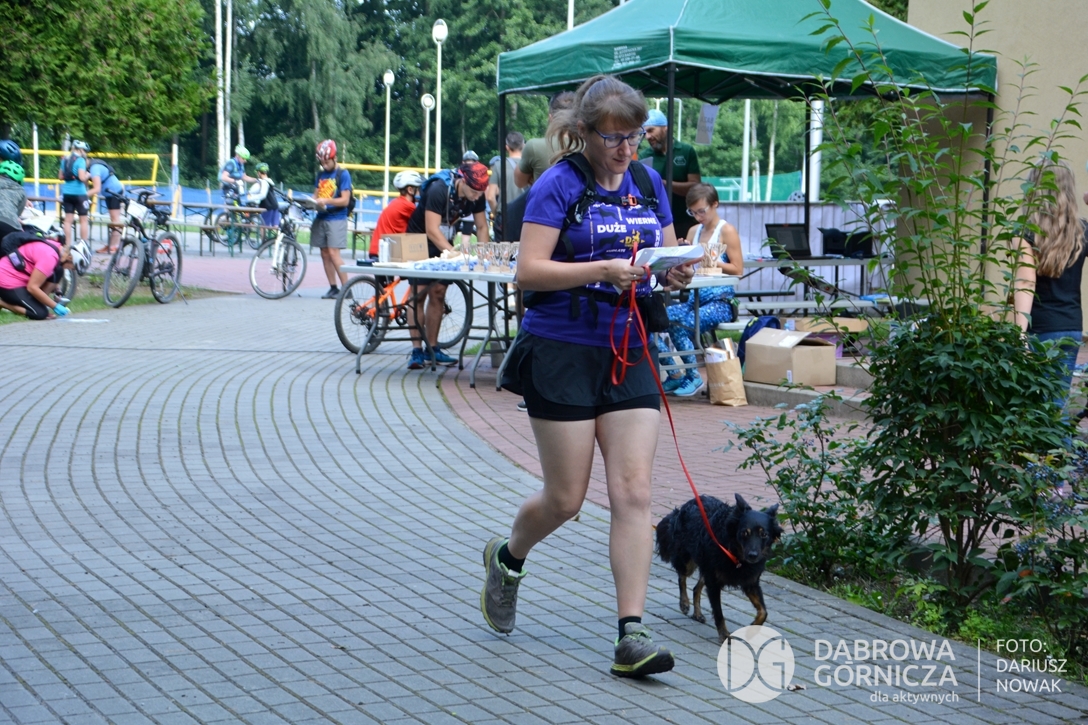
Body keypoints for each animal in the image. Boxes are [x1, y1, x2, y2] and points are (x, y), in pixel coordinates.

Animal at [656, 494, 782, 643]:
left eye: (764, 535)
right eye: (744, 533)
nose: (753, 555)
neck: (736, 555)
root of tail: (683, 507)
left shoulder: (750, 583)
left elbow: (763, 611)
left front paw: (752, 629)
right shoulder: (714, 584)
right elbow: (719, 613)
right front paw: (724, 635)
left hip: (706, 567)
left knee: (696, 587)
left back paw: (697, 614)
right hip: (688, 562)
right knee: (682, 577)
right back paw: (684, 603)